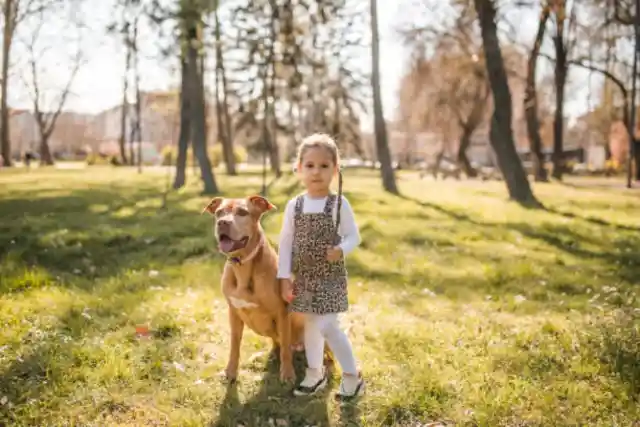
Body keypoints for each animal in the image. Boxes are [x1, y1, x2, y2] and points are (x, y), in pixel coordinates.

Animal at [204, 196, 306, 382]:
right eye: (219, 212)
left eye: (242, 212)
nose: (222, 222)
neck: (242, 265)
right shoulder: (233, 313)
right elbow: (234, 345)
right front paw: (231, 372)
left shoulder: (282, 312)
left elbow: (286, 347)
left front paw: (287, 373)